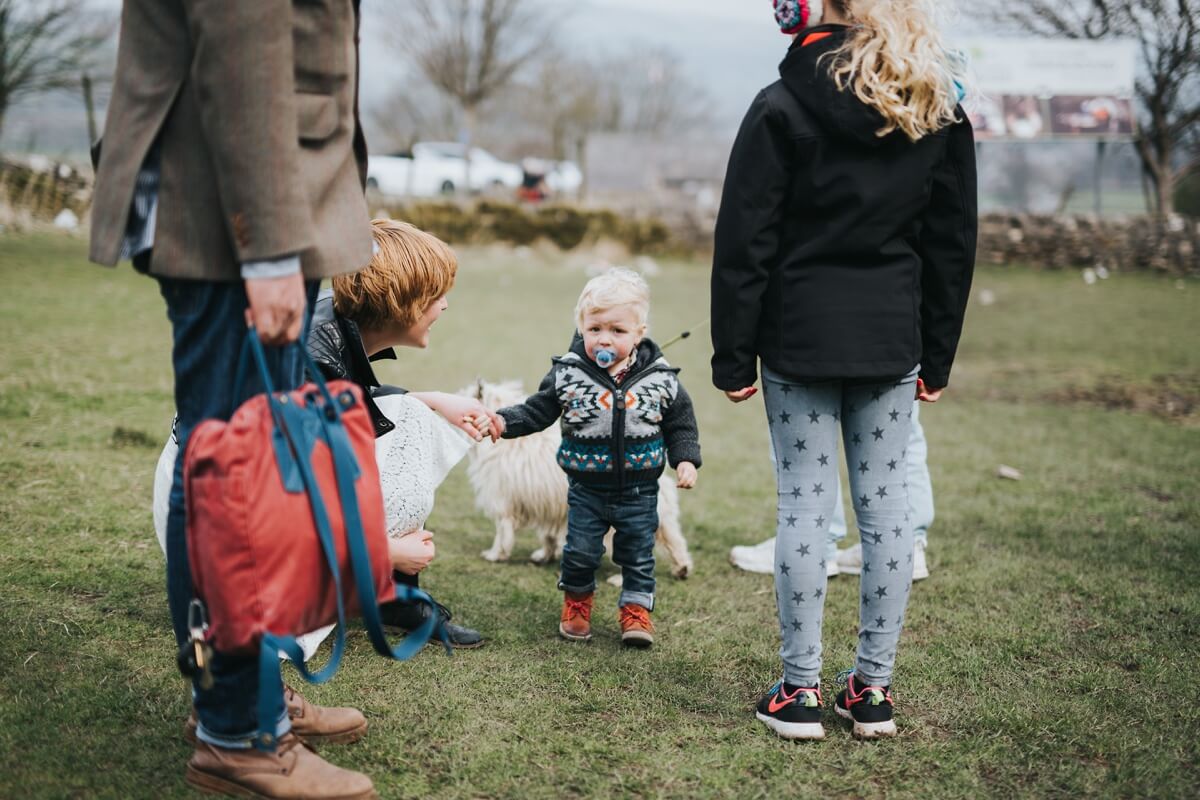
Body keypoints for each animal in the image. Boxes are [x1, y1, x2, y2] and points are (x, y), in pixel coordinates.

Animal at [460, 379, 696, 578]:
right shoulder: (547, 507)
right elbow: (548, 535)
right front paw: (544, 555)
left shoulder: (503, 504)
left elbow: (503, 534)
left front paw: (495, 555)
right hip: (662, 521)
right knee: (675, 542)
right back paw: (682, 569)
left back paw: (619, 580)